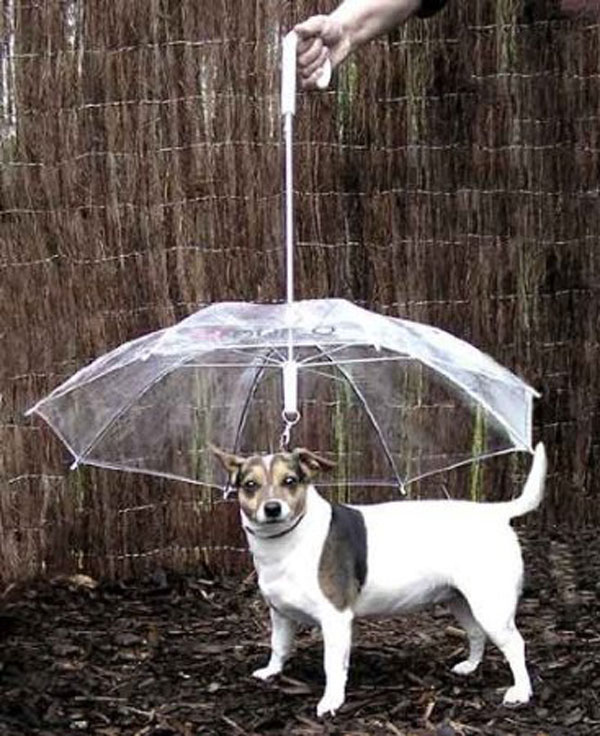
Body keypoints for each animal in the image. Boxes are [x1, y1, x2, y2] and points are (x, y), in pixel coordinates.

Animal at [213, 440, 548, 716]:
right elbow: (279, 646)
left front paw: (332, 701)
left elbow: (333, 665)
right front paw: (272, 671)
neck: (290, 538)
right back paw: (470, 666)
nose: (272, 508)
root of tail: (495, 514)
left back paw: (521, 692)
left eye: (290, 481)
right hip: (461, 600)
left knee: (515, 645)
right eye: (251, 485)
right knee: (477, 633)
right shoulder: (280, 614)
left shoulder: (336, 619)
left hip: (491, 607)